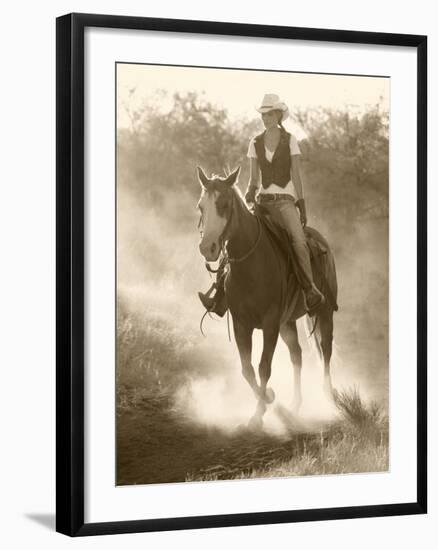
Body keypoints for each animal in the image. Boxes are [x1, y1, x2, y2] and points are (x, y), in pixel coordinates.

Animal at [197, 168, 338, 432]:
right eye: (201, 206)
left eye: (224, 204)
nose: (207, 248)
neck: (252, 264)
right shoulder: (242, 324)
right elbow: (247, 369)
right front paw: (269, 399)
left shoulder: (270, 323)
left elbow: (264, 367)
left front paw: (257, 415)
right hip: (287, 323)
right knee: (297, 355)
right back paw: (294, 405)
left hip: (323, 312)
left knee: (326, 349)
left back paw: (328, 396)